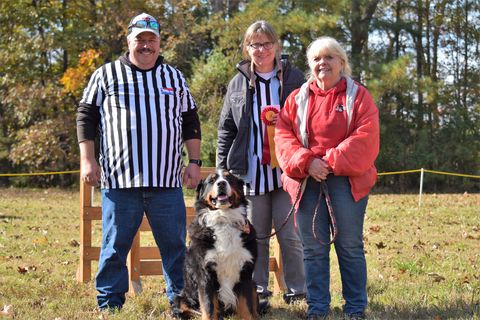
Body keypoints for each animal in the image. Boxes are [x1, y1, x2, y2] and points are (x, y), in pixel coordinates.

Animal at [175, 169, 260, 318]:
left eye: (229, 178)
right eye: (212, 180)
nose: (221, 183)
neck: (224, 220)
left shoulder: (245, 273)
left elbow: (247, 308)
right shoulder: (205, 275)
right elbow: (208, 308)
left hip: (254, 285)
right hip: (181, 297)